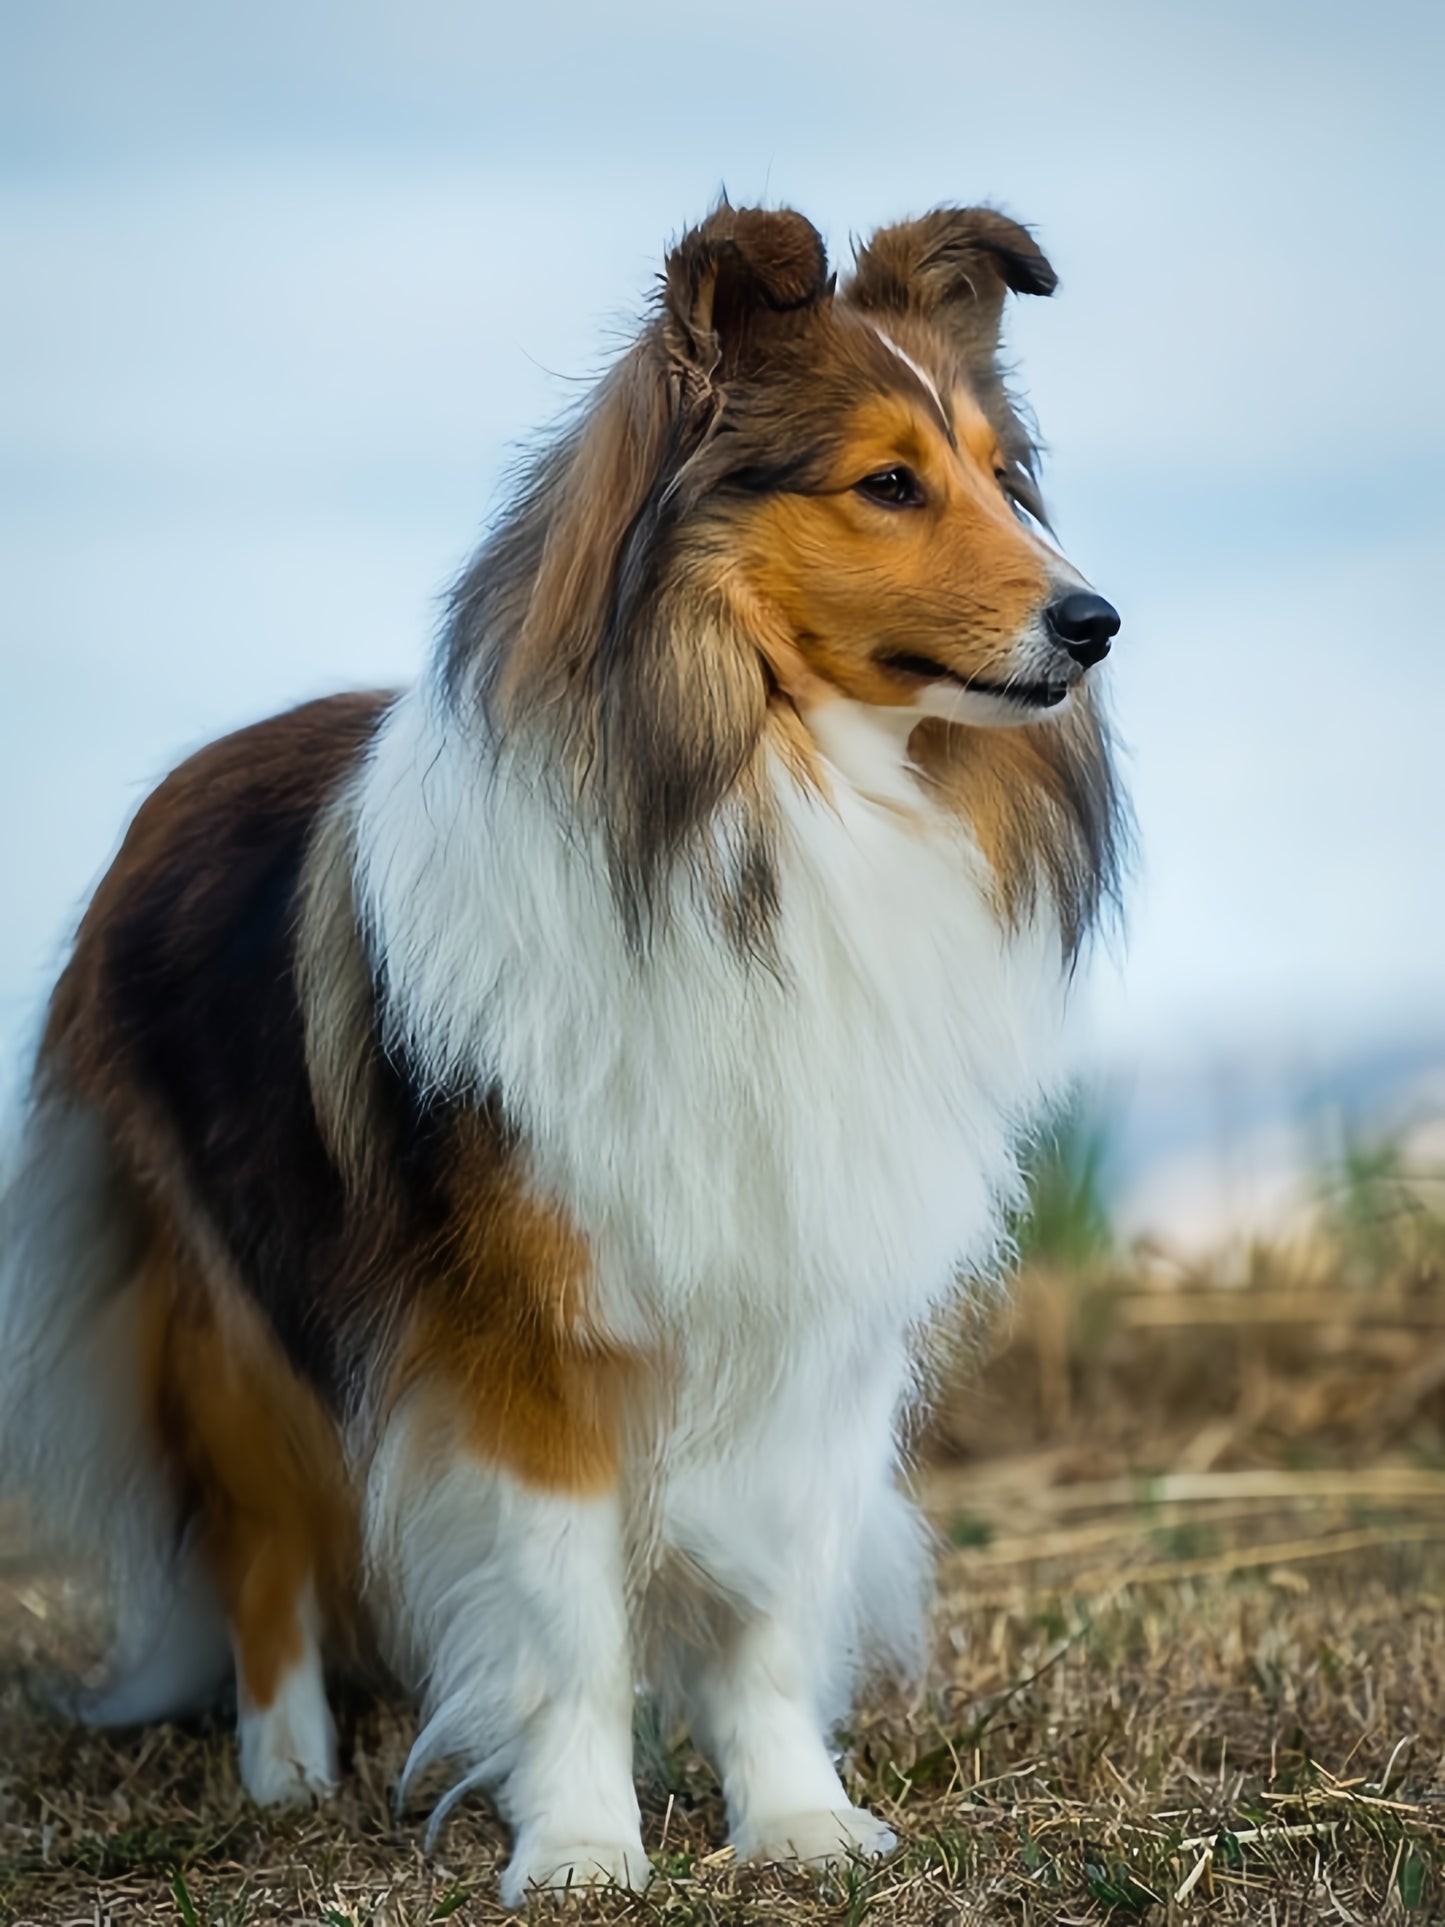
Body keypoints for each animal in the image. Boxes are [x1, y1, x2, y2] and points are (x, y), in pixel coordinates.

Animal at [0, 203, 1132, 1903]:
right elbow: (566, 1618)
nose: (1096, 621)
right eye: (886, 482)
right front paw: (584, 1843)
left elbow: (765, 1608)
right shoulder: (529, 1339)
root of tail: (179, 779)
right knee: (265, 1544)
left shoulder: (810, 1312)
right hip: (227, 1310)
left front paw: (794, 1819)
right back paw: (285, 1767)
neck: (764, 813)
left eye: (1005, 476)